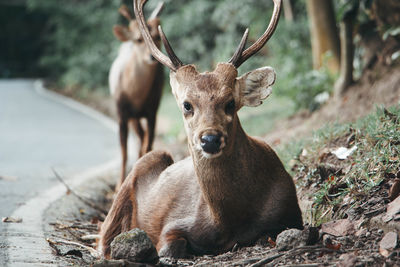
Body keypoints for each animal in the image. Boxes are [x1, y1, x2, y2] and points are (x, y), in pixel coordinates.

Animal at [108, 2, 164, 188]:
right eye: (139, 39)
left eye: (158, 37)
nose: (152, 57)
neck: (135, 95)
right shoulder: (121, 112)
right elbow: (124, 152)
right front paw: (119, 184)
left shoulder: (153, 110)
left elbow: (148, 145)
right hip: (132, 117)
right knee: (139, 137)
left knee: (143, 138)